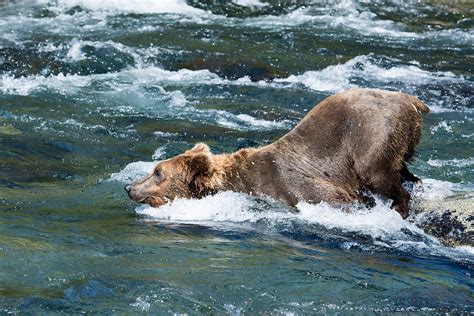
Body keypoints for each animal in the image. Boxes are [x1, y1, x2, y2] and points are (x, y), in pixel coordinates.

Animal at [125, 87, 430, 218]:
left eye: (157, 172)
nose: (128, 186)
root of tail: (412, 100)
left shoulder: (292, 187)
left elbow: (335, 200)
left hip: (372, 132)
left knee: (377, 173)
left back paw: (398, 207)